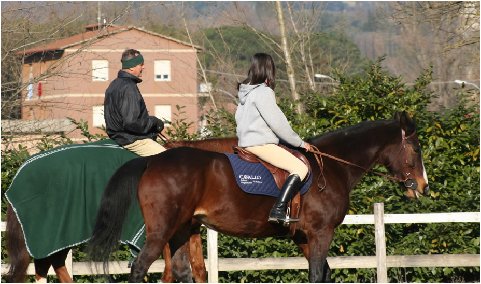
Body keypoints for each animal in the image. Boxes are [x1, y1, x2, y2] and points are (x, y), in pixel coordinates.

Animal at [3, 137, 236, 282]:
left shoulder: (191, 229)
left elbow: (199, 269)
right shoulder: (166, 231)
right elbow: (170, 273)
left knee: (52, 263)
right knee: (49, 263)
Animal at [88, 112, 430, 282]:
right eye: (416, 149)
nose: (423, 187)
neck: (333, 166)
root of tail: (154, 160)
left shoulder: (304, 237)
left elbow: (324, 274)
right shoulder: (321, 233)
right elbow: (316, 274)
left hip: (183, 229)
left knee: (182, 271)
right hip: (162, 230)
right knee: (140, 269)